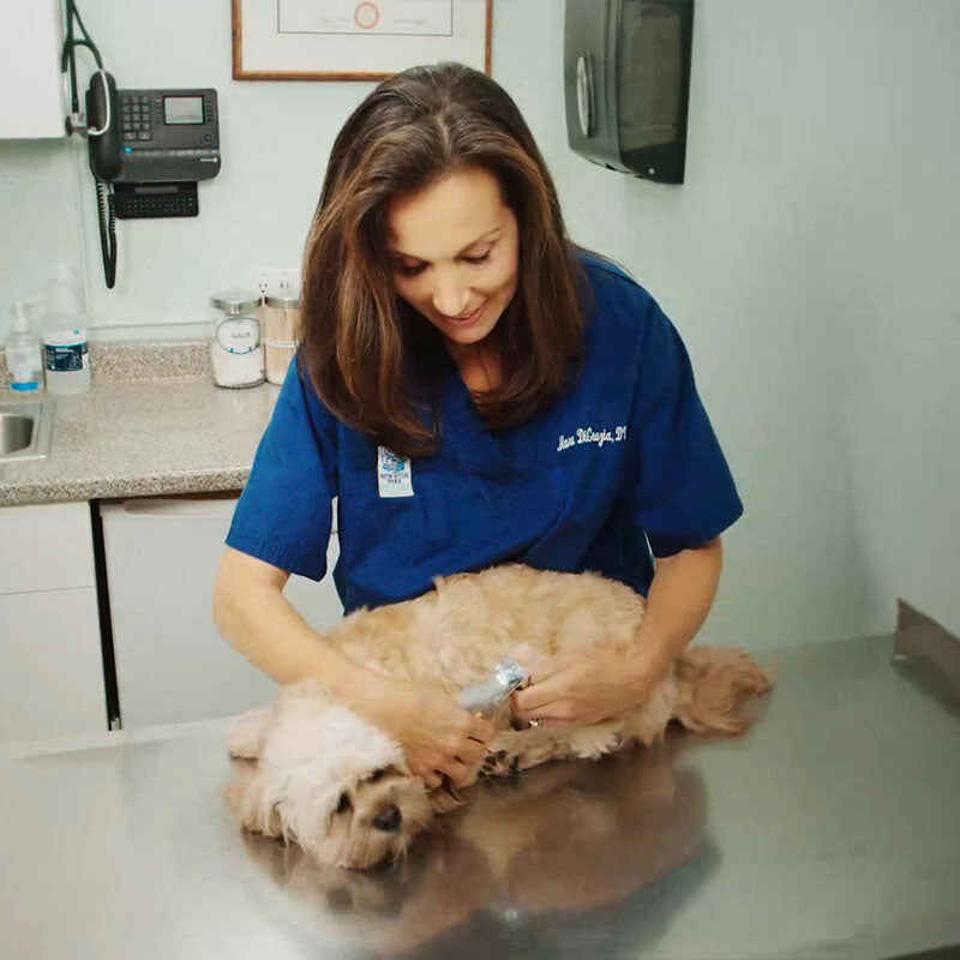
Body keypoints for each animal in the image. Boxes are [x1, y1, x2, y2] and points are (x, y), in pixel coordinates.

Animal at [227, 564, 772, 872]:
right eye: (340, 805)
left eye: (377, 776)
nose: (388, 818)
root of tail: (671, 668)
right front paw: (249, 732)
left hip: (569, 667)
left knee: (589, 735)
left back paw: (514, 750)